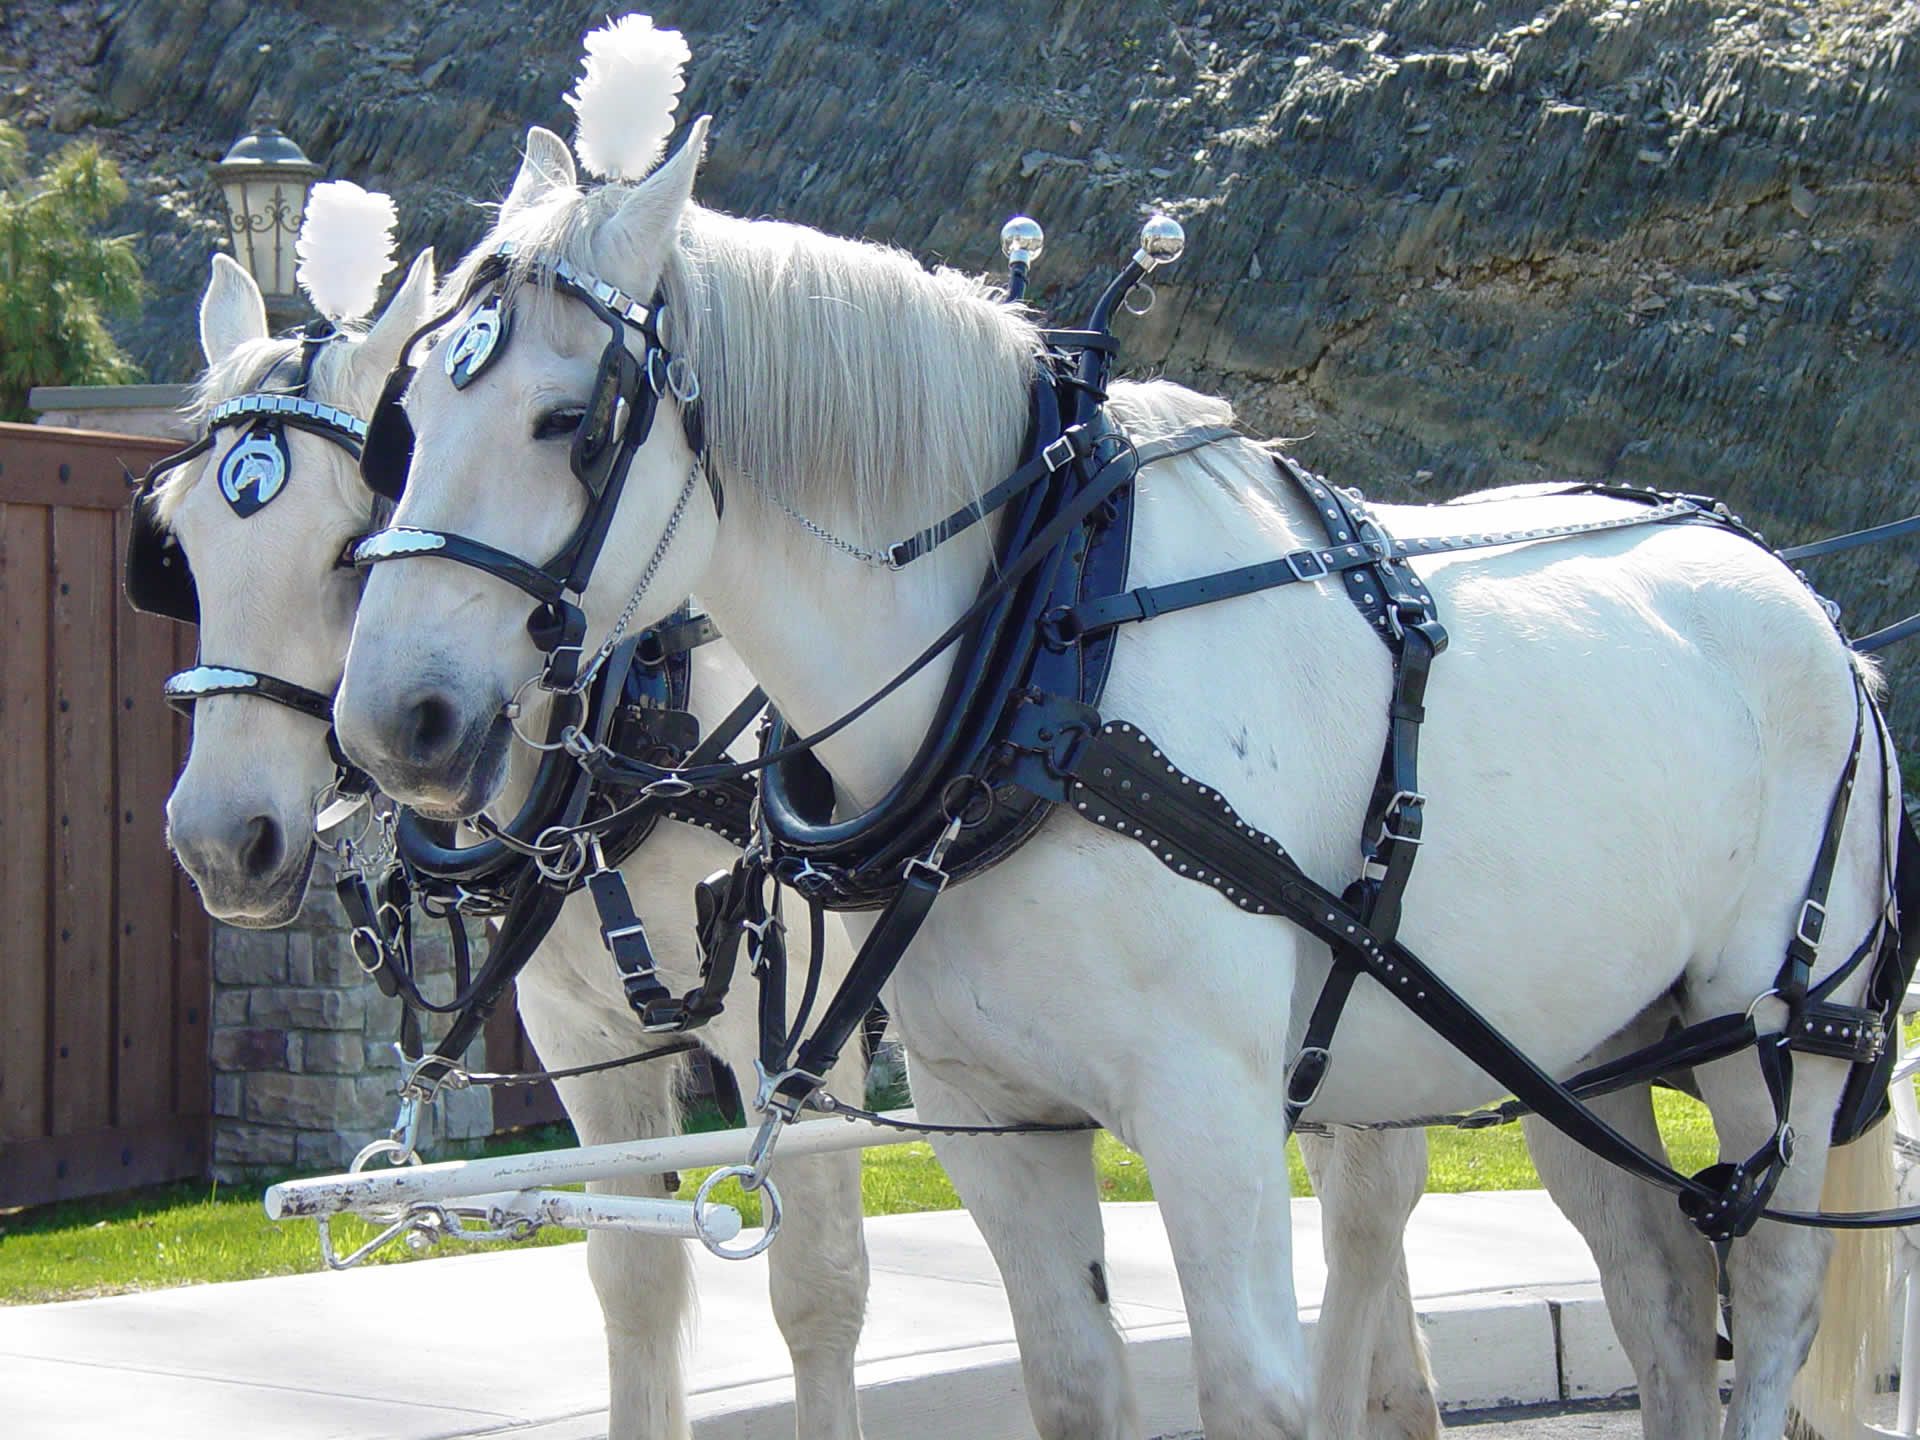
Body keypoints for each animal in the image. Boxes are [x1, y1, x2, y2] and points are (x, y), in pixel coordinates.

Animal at [143, 242, 874, 1440]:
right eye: (183, 549)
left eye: (352, 547)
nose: (215, 839)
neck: (635, 723)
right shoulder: (579, 1036)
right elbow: (634, 1284)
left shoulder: (809, 1039)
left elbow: (819, 1289)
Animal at [333, 118, 1897, 1440]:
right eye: (403, 425)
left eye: (571, 421)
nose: (394, 721)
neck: (1040, 665)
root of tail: (1812, 609)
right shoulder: (994, 1121)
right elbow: (1073, 1387)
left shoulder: (1211, 1112)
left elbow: (1254, 1392)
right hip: (1585, 1046)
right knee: (1657, 1292)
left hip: (1776, 1038)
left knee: (1767, 1304)